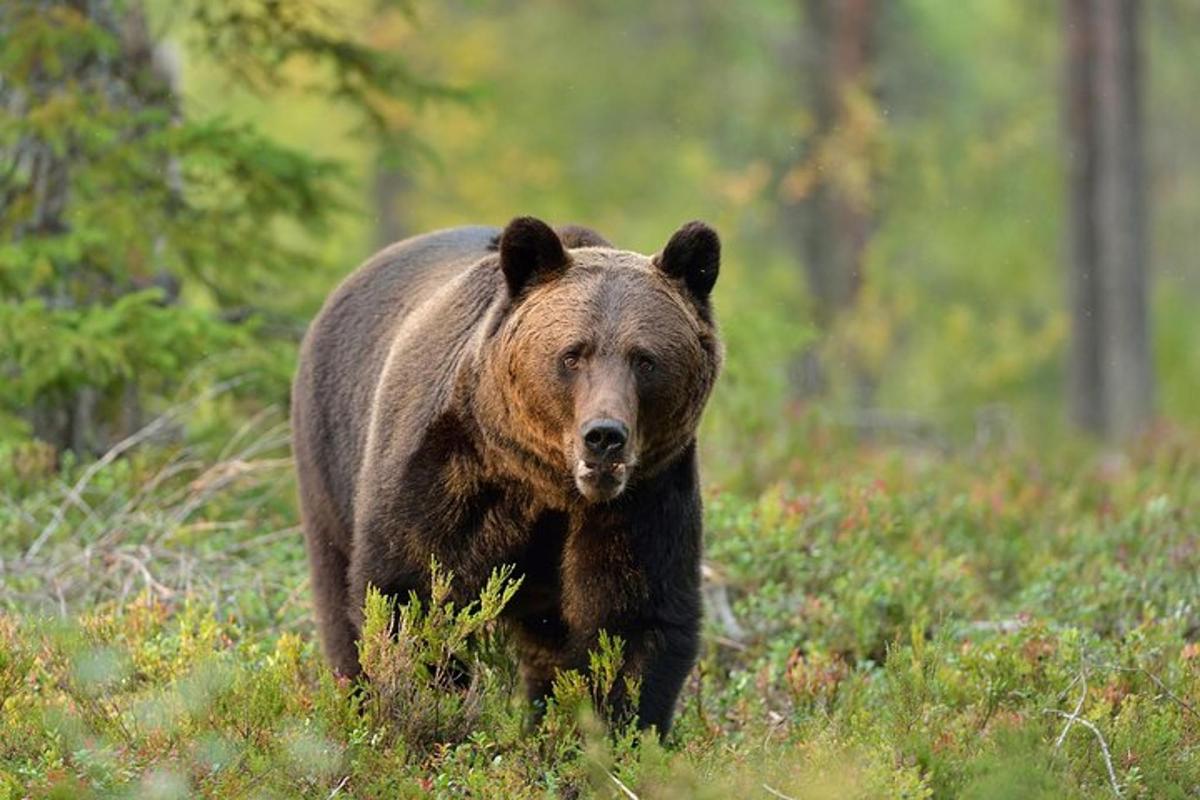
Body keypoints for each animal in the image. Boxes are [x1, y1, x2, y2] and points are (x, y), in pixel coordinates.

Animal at [290, 215, 720, 734]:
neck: (548, 486)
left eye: (645, 359)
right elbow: (410, 593)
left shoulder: (645, 497)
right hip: (329, 457)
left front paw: (614, 731)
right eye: (572, 354)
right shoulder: (453, 474)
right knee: (337, 593)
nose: (604, 436)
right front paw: (427, 708)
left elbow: (632, 619)